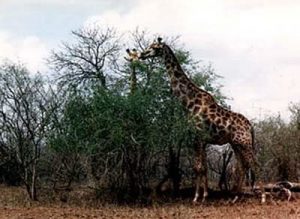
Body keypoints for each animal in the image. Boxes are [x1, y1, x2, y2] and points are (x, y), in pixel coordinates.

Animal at [125, 37, 264, 202]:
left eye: (154, 47)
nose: (142, 54)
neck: (189, 103)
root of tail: (250, 126)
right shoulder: (201, 140)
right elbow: (202, 168)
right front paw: (204, 195)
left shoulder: (197, 137)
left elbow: (198, 167)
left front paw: (197, 197)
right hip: (236, 144)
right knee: (242, 166)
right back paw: (235, 197)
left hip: (244, 142)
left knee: (256, 164)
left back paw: (262, 197)